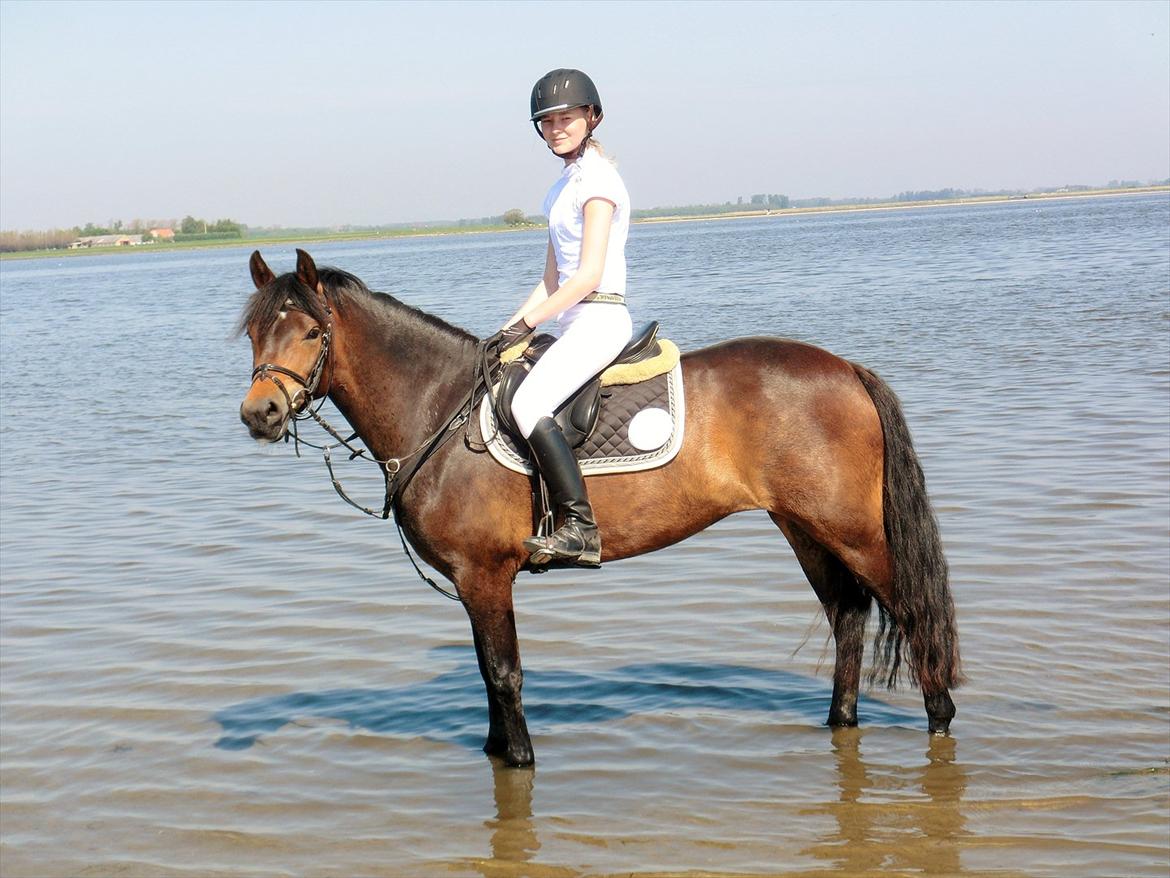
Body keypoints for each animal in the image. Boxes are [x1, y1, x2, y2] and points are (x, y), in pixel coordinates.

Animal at [238, 249, 961, 767]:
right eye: (252, 333)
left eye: (311, 332)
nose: (259, 414)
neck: (436, 404)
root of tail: (845, 369)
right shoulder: (474, 582)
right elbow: (486, 675)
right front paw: (497, 750)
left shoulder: (485, 575)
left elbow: (504, 674)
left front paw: (518, 762)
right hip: (805, 527)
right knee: (848, 616)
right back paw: (840, 721)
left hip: (853, 532)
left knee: (911, 613)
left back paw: (940, 721)